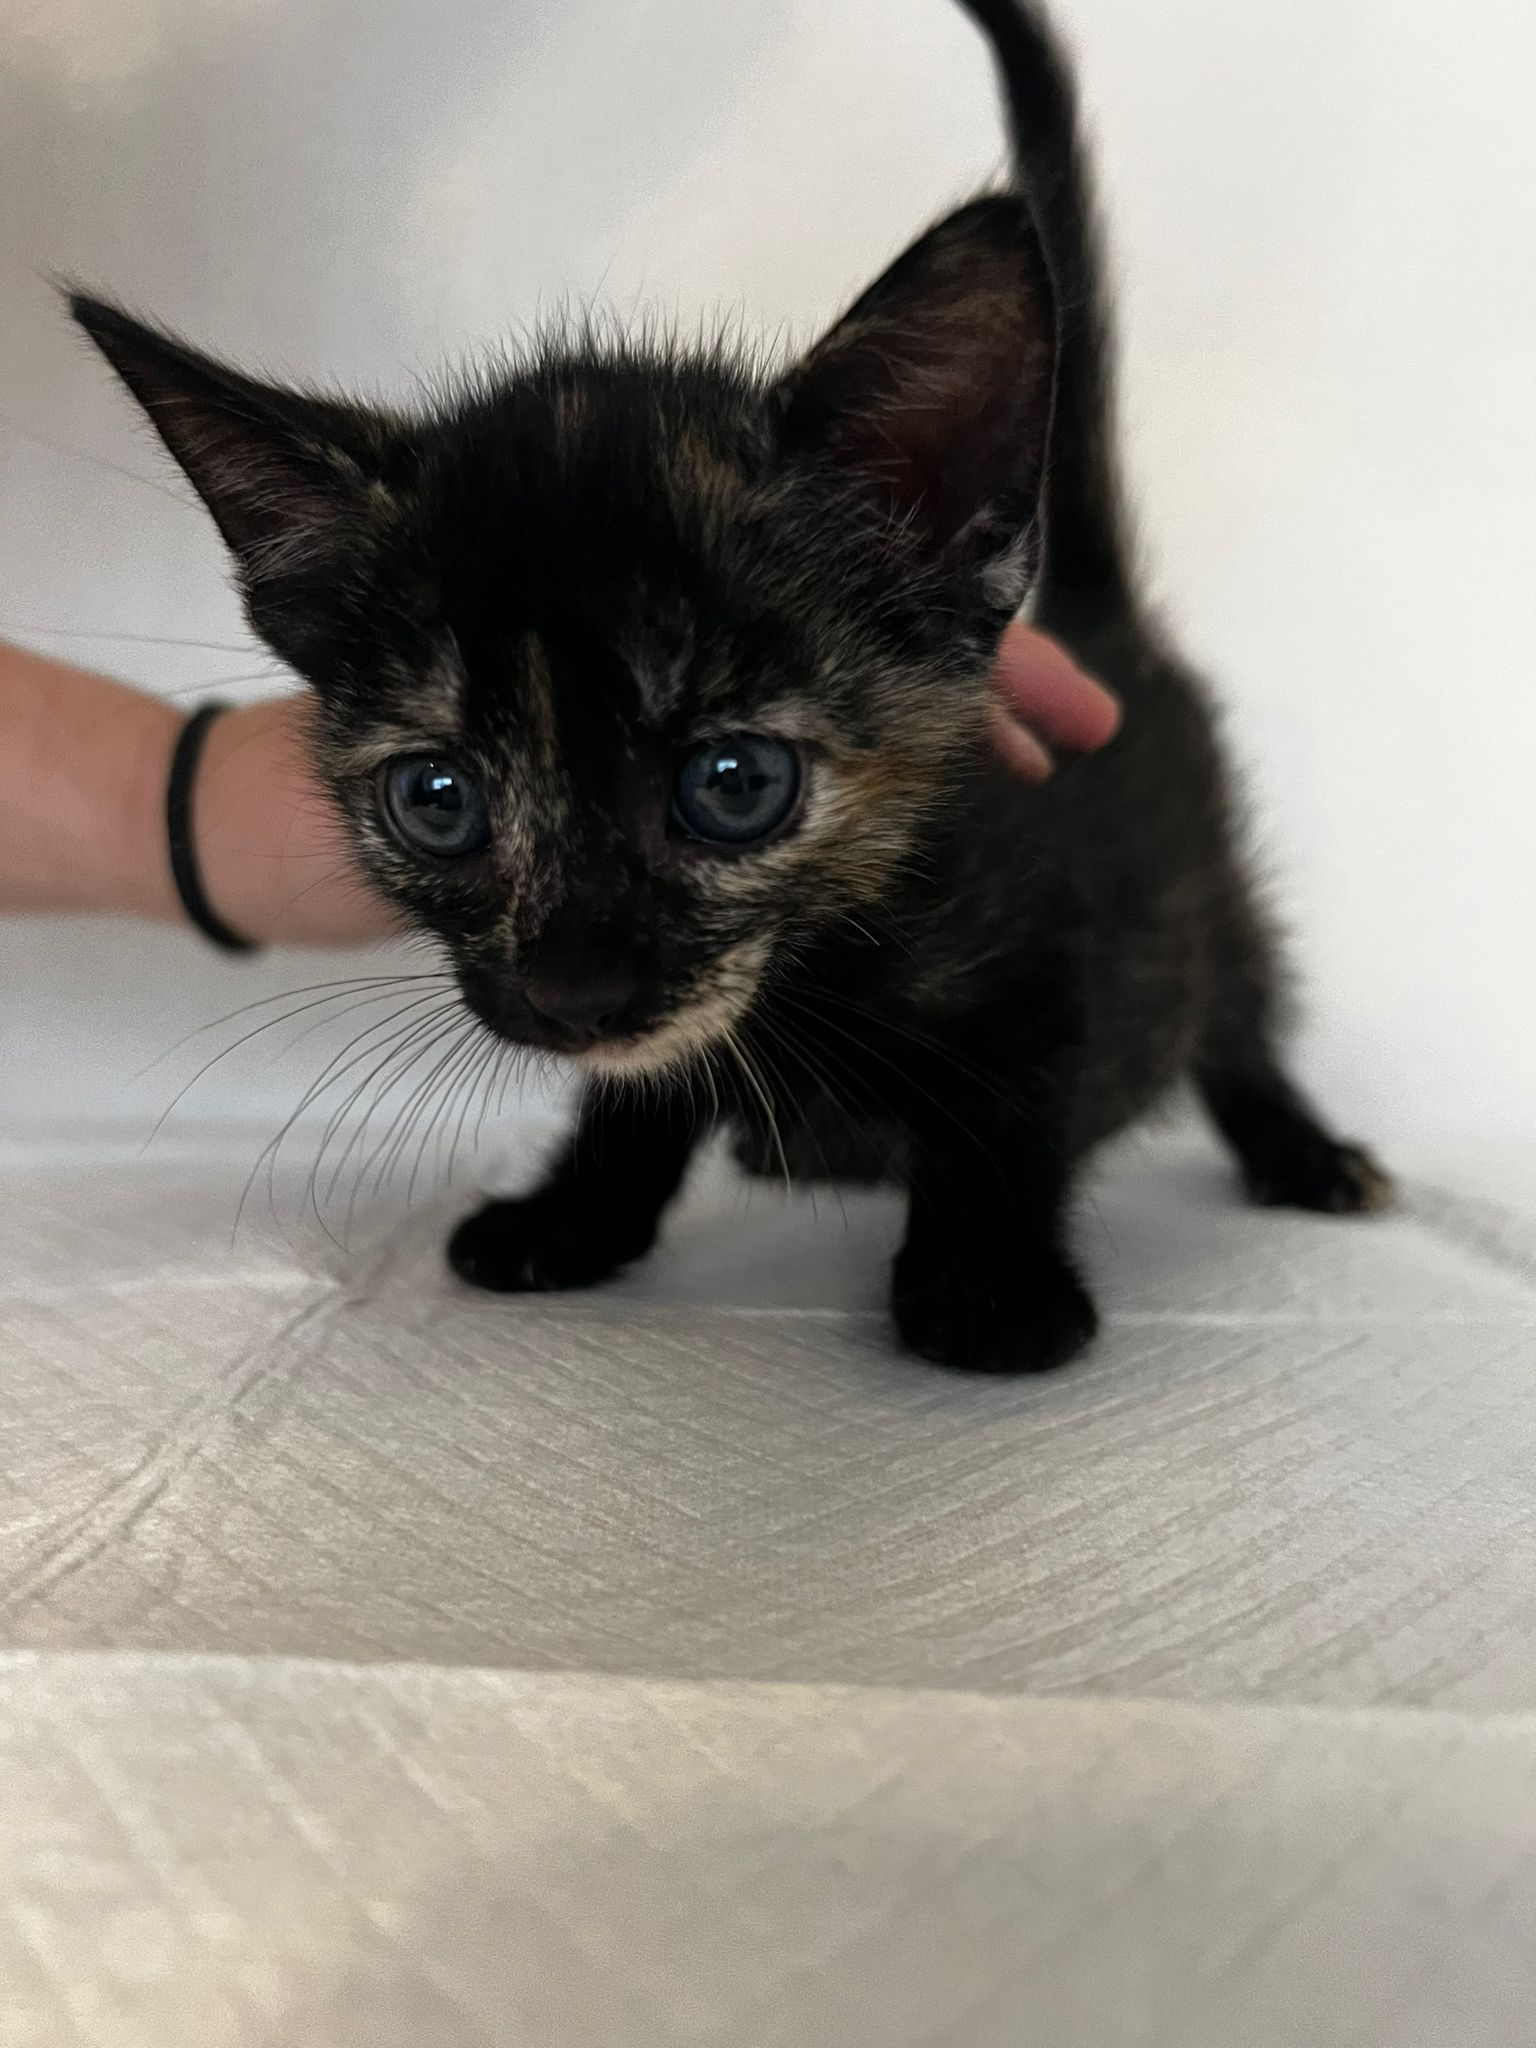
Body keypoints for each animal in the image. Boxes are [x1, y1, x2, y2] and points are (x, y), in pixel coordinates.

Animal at [75, 4, 1392, 1376]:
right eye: (435, 798)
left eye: (736, 782)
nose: (575, 993)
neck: (801, 979)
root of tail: (1090, 625)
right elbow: (637, 1101)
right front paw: (577, 1210)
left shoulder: (1066, 924)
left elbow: (1013, 1098)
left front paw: (986, 1277)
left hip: (1213, 877)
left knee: (1240, 1002)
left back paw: (1301, 1147)